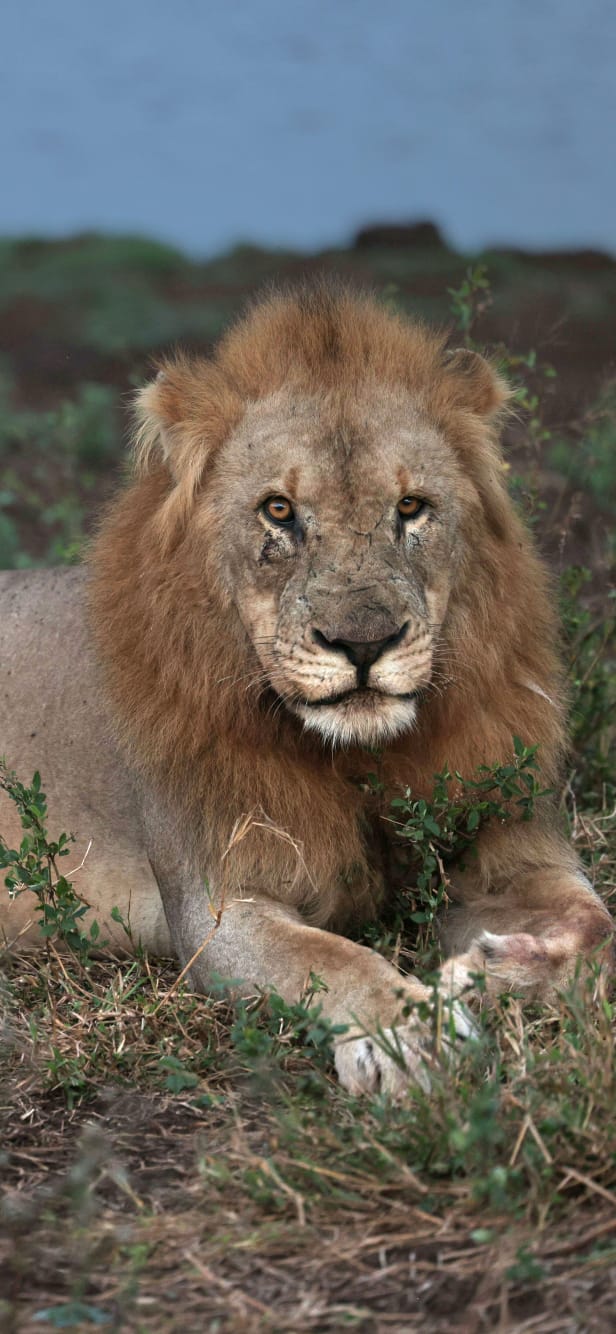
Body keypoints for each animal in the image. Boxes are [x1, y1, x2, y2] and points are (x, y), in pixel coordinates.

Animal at [0, 282, 612, 1095]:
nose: (364, 643)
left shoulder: (518, 848)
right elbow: (329, 957)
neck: (360, 759)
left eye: (410, 507)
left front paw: (490, 968)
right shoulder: (215, 907)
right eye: (279, 510)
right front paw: (407, 1034)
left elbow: (598, 928)